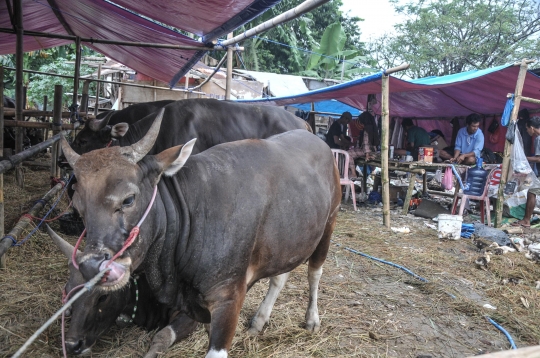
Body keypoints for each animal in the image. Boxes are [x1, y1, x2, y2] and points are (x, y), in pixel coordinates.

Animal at [58, 110, 338, 356]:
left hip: (329, 225)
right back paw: (260, 319)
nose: (92, 267)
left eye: (128, 199)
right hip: (289, 240)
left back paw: (312, 319)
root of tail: (314, 137)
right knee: (280, 275)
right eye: (79, 208)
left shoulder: (228, 298)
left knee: (315, 272)